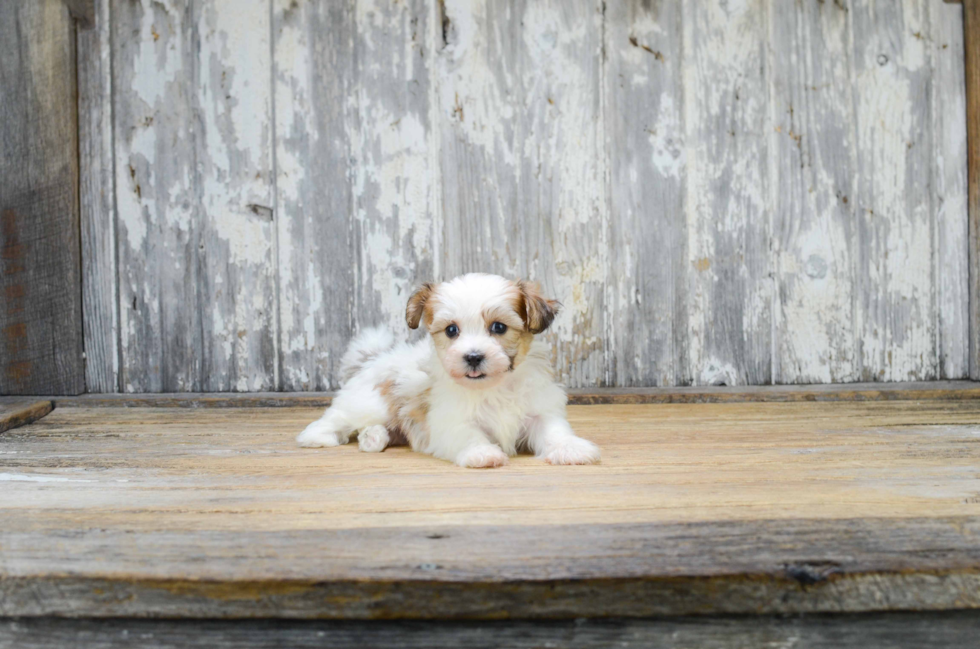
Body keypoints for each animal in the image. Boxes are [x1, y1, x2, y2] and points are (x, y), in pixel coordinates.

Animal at [294, 272, 600, 466]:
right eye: (452, 330)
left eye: (499, 327)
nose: (473, 357)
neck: (493, 387)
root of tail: (375, 358)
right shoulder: (448, 420)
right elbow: (467, 433)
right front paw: (481, 453)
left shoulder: (539, 411)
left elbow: (553, 430)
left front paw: (571, 448)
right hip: (370, 401)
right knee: (339, 416)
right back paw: (318, 437)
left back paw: (374, 437)